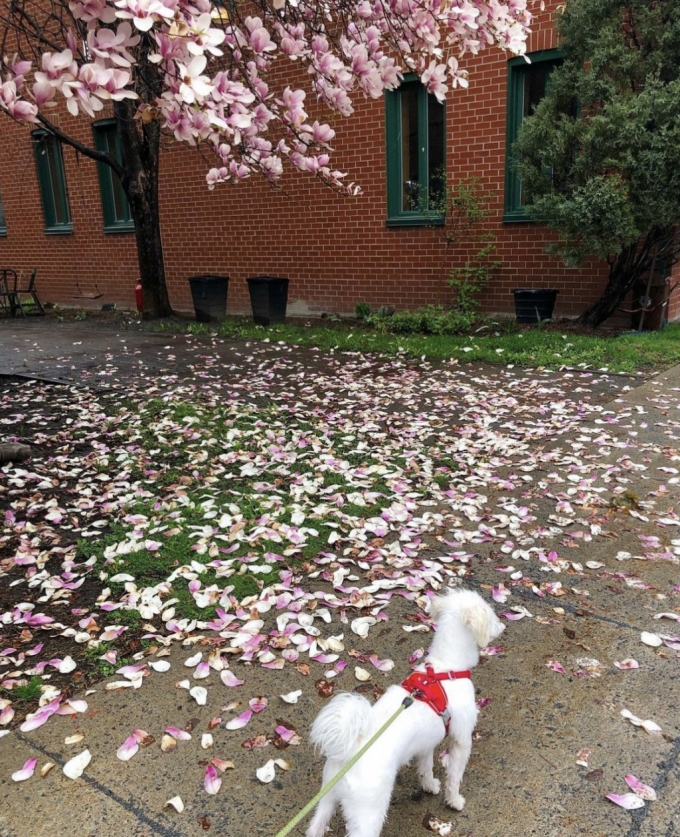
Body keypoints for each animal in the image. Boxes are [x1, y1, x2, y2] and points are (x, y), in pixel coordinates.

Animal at [306, 588, 502, 836]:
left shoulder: (426, 743)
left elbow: (425, 768)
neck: (446, 667)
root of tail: (350, 751)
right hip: (369, 814)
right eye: (491, 614)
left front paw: (429, 785)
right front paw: (454, 800)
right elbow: (454, 776)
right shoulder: (462, 739)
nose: (502, 626)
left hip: (326, 800)